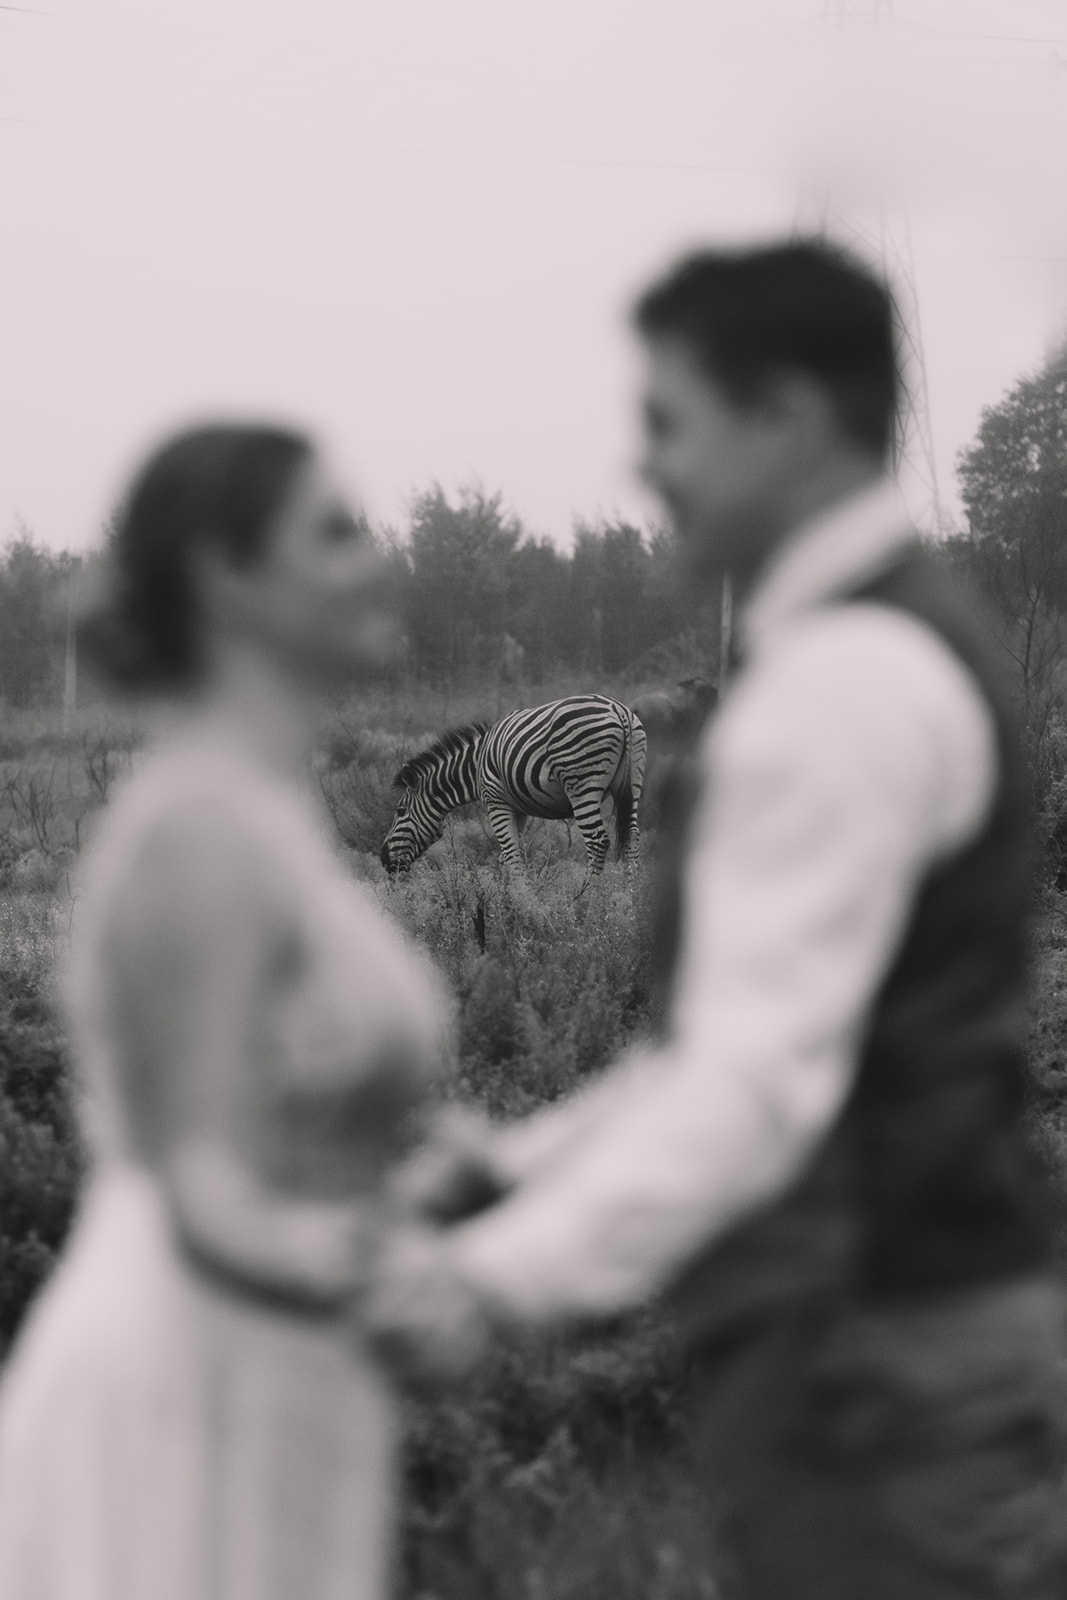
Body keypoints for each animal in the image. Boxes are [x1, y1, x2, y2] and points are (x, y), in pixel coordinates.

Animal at [383, 694, 652, 876]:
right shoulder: (519, 810)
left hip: (581, 785)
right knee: (632, 838)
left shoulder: (496, 802)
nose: (384, 859)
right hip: (632, 784)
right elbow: (507, 858)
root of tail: (619, 710)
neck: (476, 765)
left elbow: (512, 858)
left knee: (597, 842)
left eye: (400, 811)